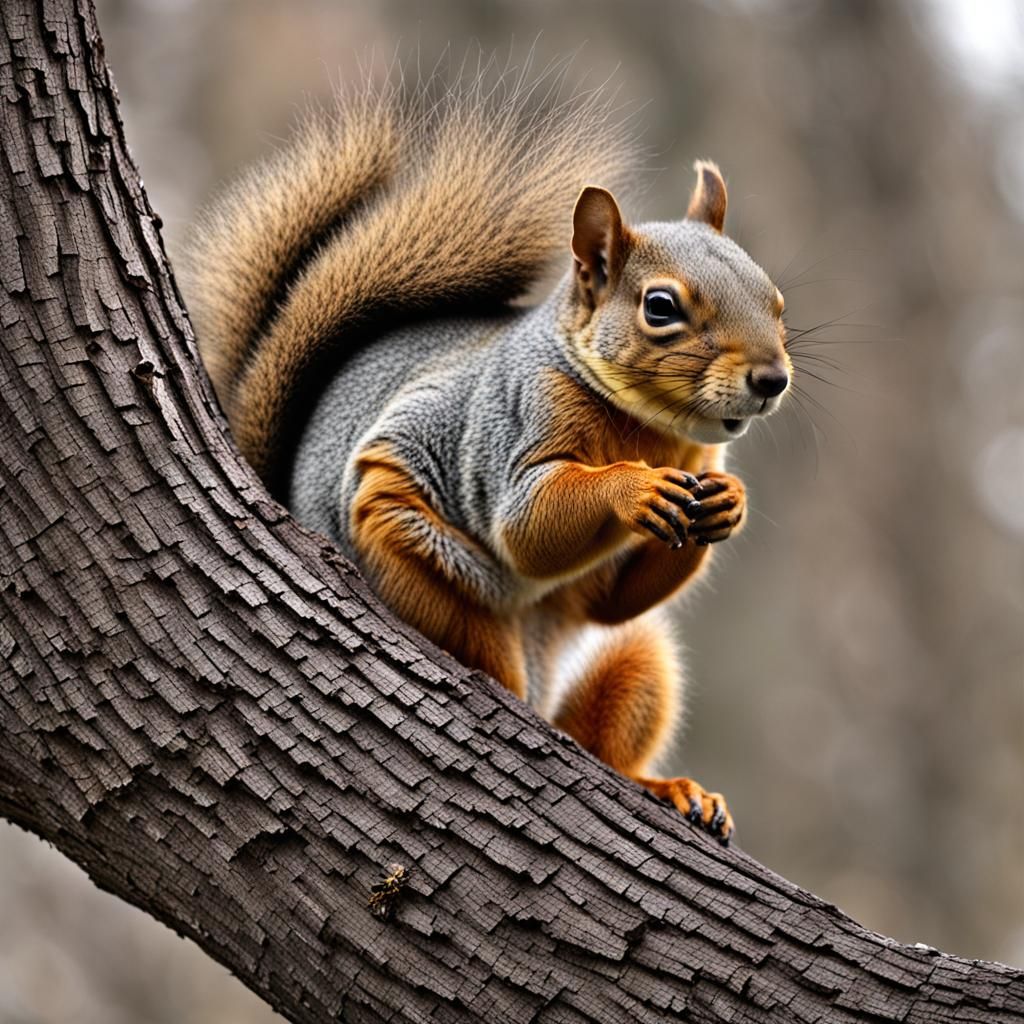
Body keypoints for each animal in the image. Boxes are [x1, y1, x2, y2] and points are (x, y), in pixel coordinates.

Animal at [186, 71, 792, 846]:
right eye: (660, 307)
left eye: (775, 299)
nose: (772, 379)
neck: (654, 431)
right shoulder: (511, 430)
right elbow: (528, 528)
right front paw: (631, 489)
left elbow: (615, 599)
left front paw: (729, 501)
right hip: (426, 565)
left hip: (637, 662)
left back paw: (663, 788)